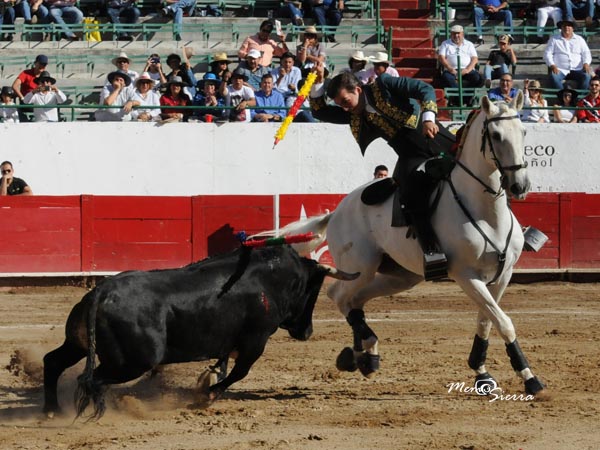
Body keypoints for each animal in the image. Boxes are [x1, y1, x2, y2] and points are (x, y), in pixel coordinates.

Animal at [44, 244, 358, 420]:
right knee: (92, 379)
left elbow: (224, 364)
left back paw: (51, 410)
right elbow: (239, 372)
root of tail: (103, 291)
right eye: (312, 289)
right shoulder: (256, 340)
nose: (306, 331)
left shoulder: (231, 341)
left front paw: (207, 383)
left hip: (78, 344)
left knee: (54, 361)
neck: (271, 279)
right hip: (133, 362)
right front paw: (207, 395)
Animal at [264, 93, 548, 396]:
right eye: (495, 135)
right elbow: (503, 322)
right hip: (360, 268)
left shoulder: (503, 274)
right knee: (339, 295)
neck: (485, 211)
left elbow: (487, 320)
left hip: (402, 276)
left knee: (355, 300)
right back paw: (362, 352)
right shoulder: (465, 276)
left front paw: (482, 372)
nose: (519, 186)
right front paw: (530, 378)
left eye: (524, 132)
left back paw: (364, 355)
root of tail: (338, 210)